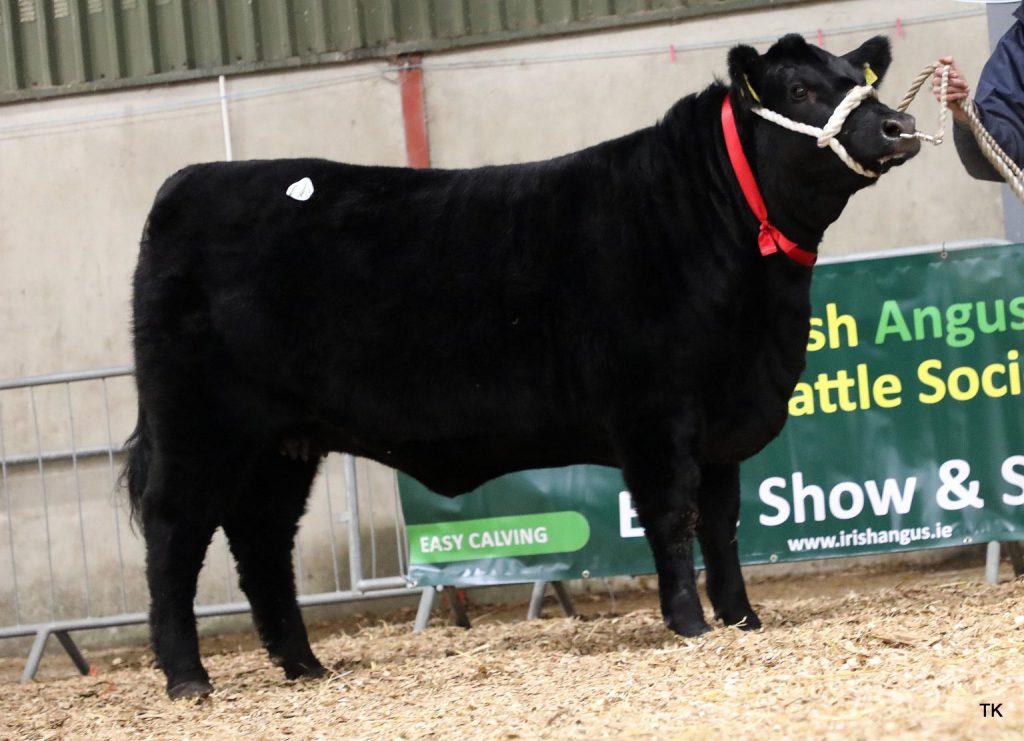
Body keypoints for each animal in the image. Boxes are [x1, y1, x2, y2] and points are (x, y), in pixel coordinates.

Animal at [125, 33, 919, 699]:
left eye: (859, 79)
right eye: (799, 90)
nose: (898, 127)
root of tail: (184, 186)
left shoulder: (724, 417)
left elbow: (723, 524)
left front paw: (742, 620)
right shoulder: (654, 412)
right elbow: (672, 515)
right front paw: (689, 624)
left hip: (283, 442)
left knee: (261, 540)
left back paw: (303, 665)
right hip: (198, 424)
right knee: (174, 535)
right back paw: (187, 677)